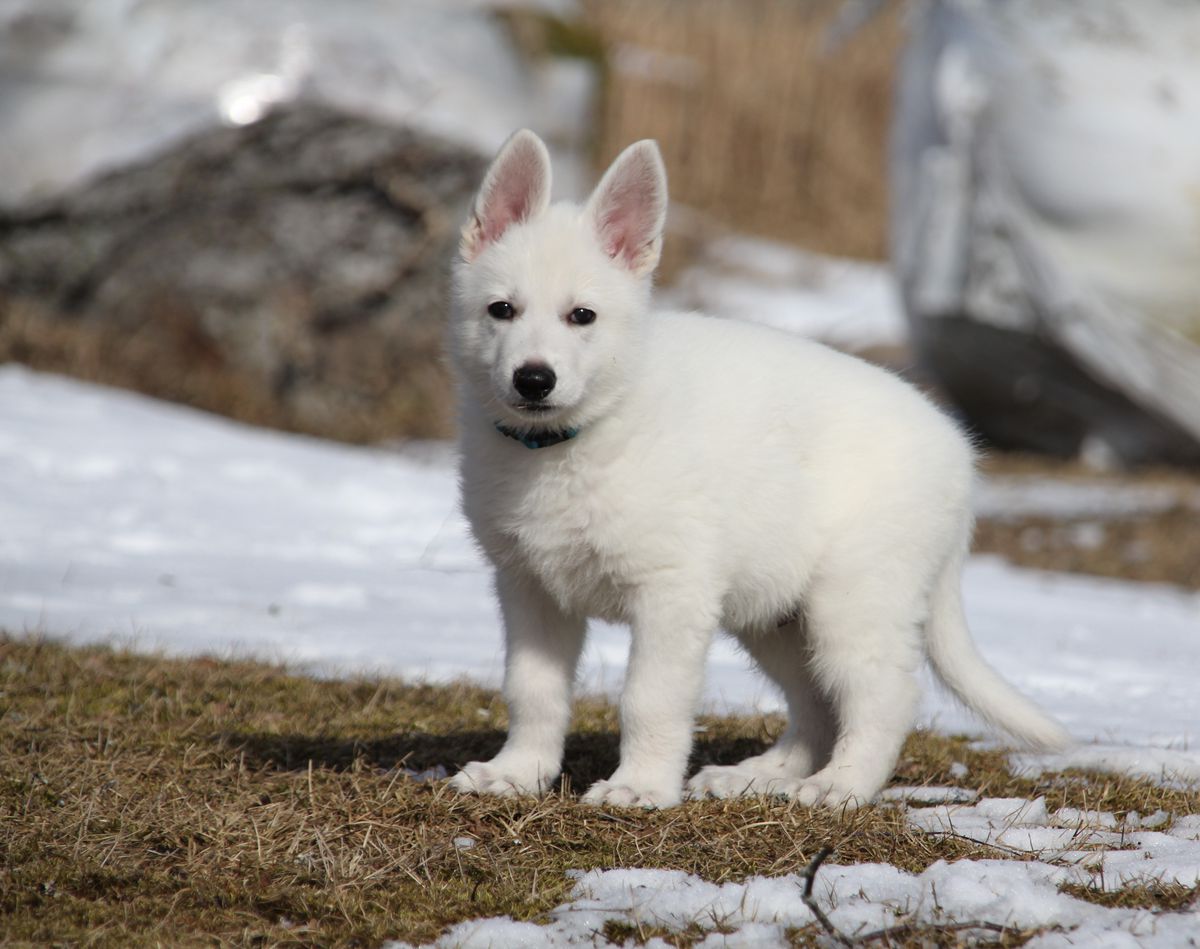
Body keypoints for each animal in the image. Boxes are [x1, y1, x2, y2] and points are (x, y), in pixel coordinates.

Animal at [448, 130, 1070, 806]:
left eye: (581, 316)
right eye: (501, 310)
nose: (533, 380)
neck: (571, 439)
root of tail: (959, 450)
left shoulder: (672, 592)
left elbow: (649, 699)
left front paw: (639, 788)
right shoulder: (529, 587)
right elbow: (532, 690)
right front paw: (517, 772)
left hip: (852, 600)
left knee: (884, 697)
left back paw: (839, 787)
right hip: (777, 612)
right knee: (816, 703)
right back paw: (759, 776)